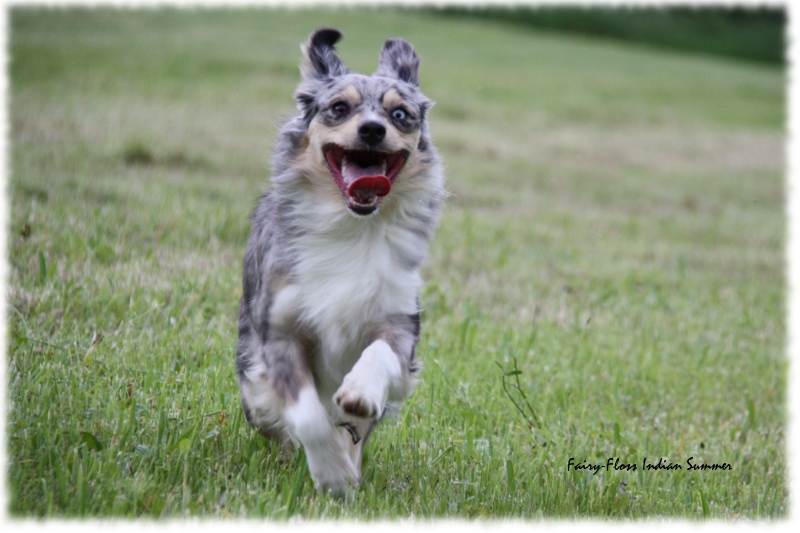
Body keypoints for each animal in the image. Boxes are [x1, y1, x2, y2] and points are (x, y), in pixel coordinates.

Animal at [234, 28, 446, 494]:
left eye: (400, 114)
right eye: (339, 108)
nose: (372, 129)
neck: (353, 227)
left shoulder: (399, 320)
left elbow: (380, 355)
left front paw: (359, 394)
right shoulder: (280, 331)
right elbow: (308, 414)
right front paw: (332, 476)